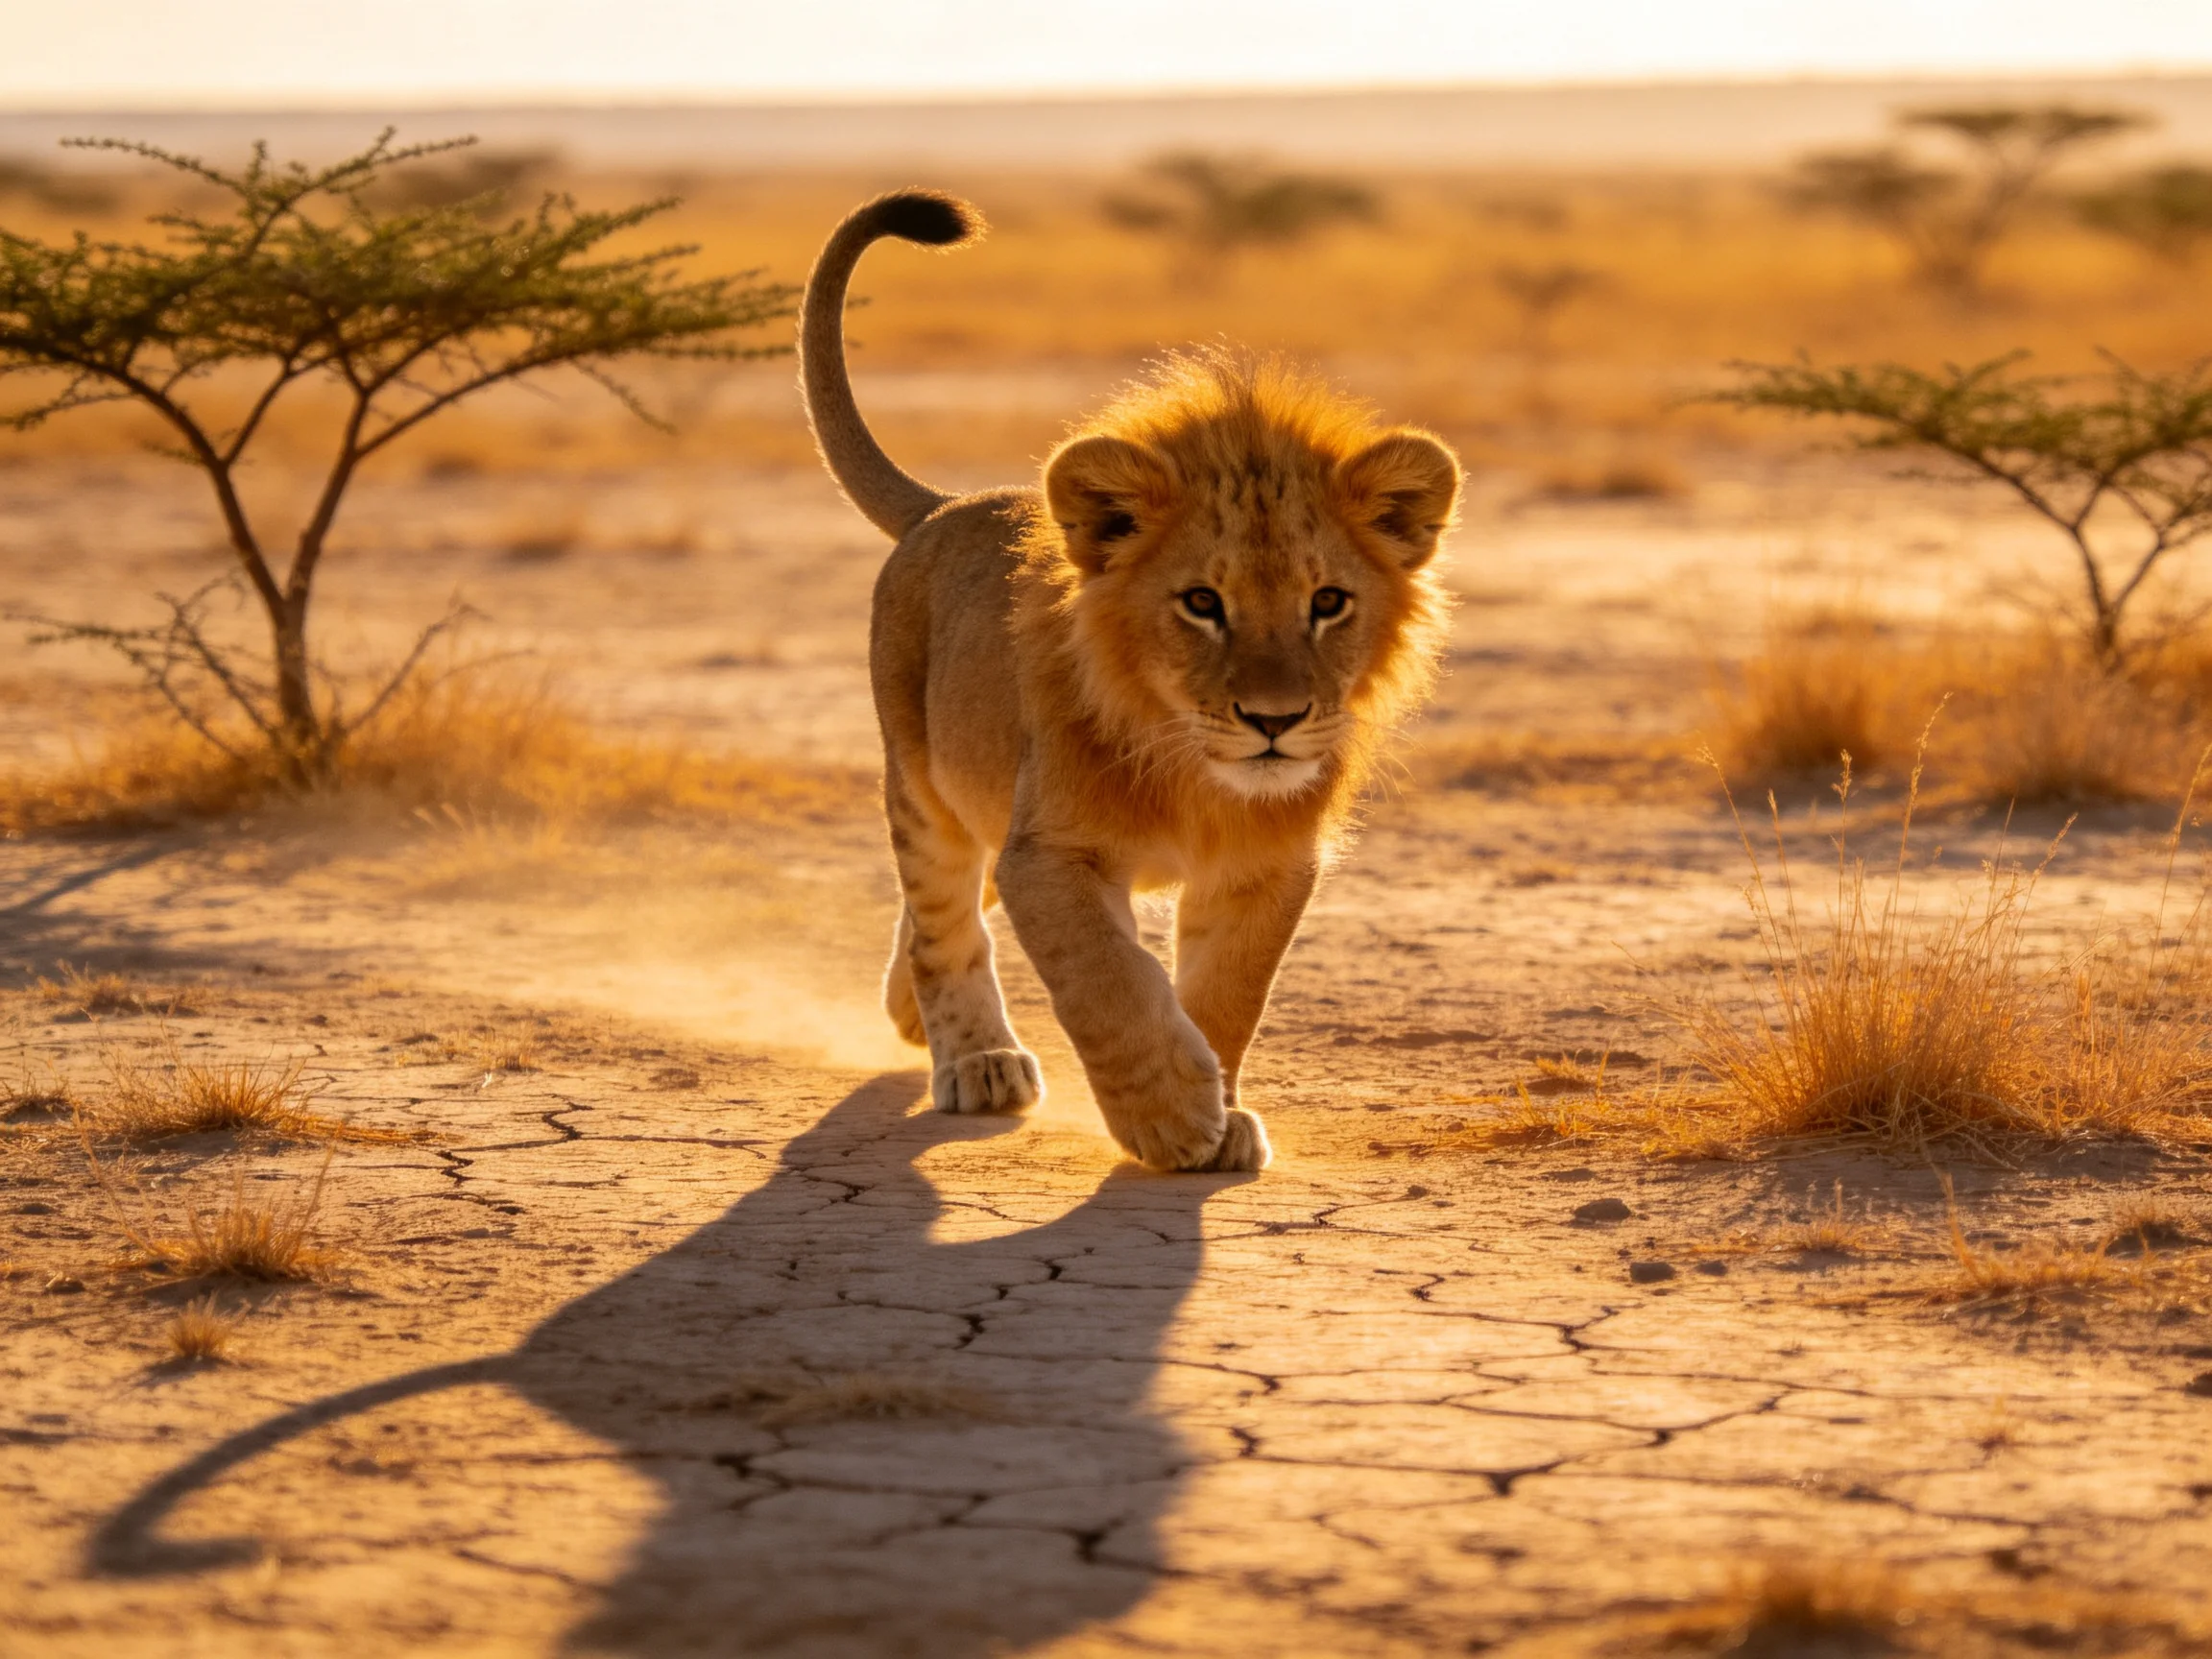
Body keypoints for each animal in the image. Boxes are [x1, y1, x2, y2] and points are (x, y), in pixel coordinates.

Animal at [800, 190, 1460, 1172]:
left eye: (1329, 602)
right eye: (1202, 602)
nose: (1275, 720)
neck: (1197, 771)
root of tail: (945, 506)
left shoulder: (1268, 864)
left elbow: (1229, 995)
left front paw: (1224, 1114)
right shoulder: (1050, 851)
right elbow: (1106, 979)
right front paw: (1170, 1116)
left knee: (936, 915)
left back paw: (907, 1014)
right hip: (926, 785)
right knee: (942, 915)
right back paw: (977, 1060)